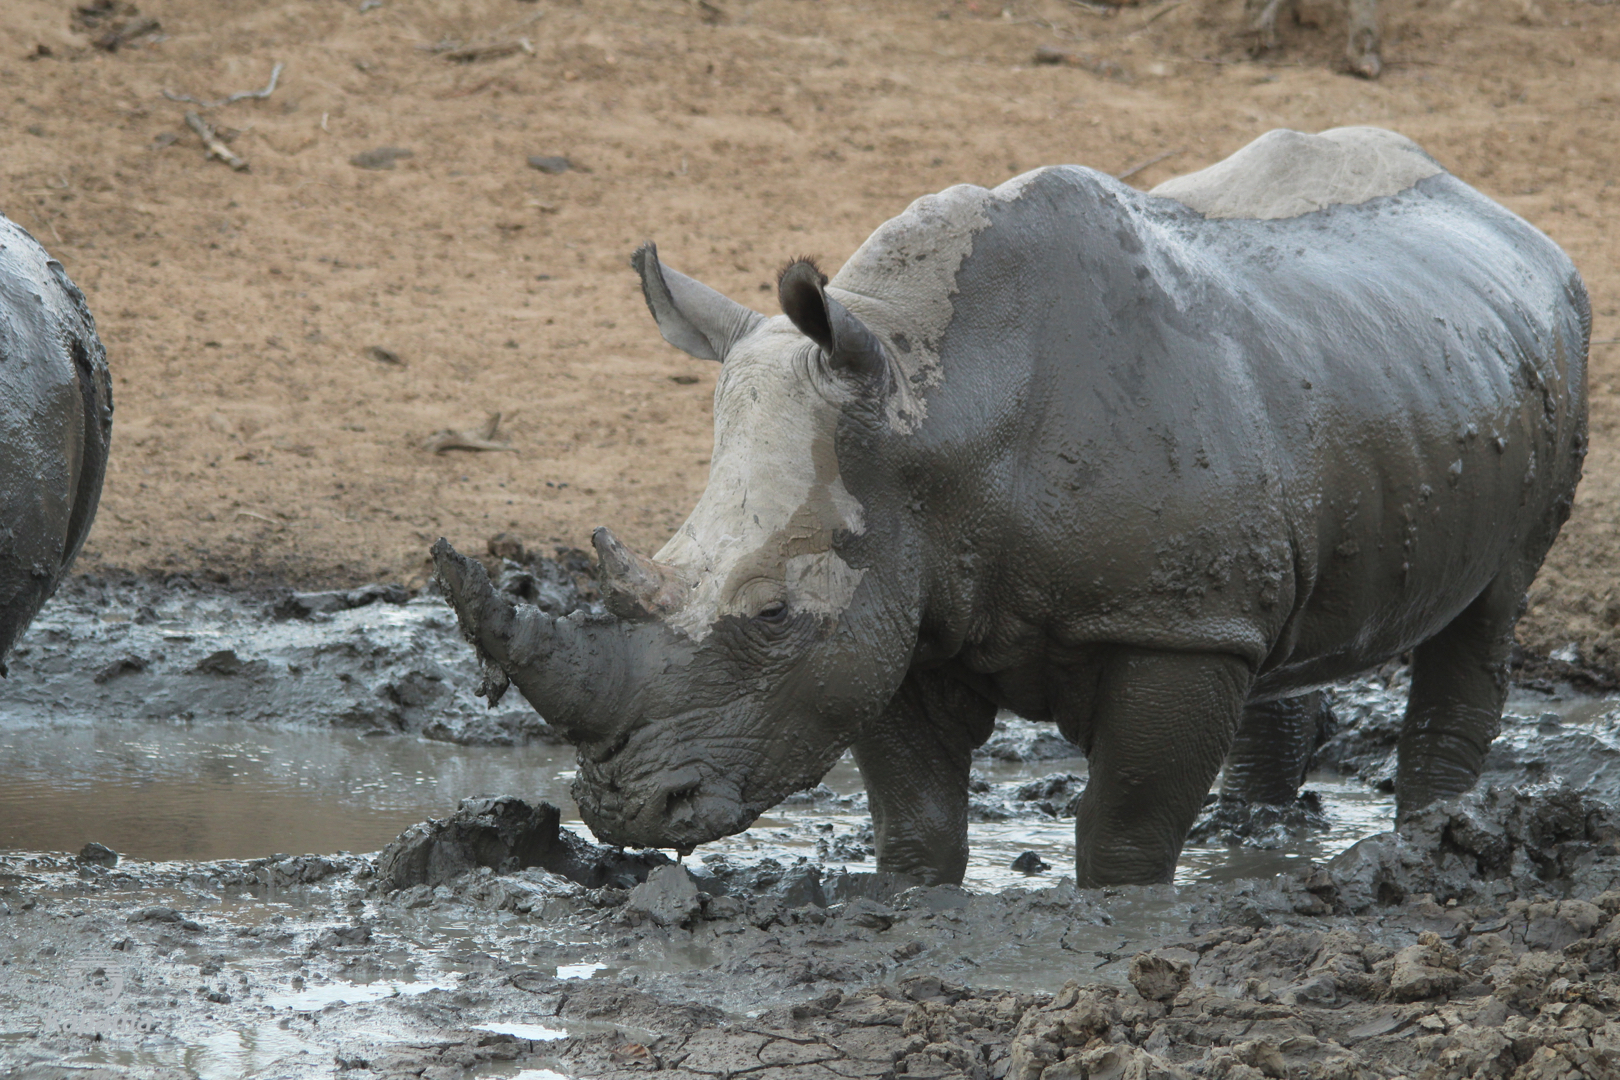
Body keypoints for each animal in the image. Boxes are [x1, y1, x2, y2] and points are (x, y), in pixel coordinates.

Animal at [434, 127, 1588, 886]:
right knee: (1279, 614)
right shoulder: (901, 597)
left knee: (1491, 607)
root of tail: (1506, 218)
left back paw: (1432, 843)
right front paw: (915, 893)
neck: (935, 414)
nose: (623, 809)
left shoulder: (1165, 626)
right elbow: (916, 819)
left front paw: (1121, 909)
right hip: (1351, 378)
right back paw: (1252, 840)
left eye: (771, 617)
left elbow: (1124, 832)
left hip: (1545, 348)